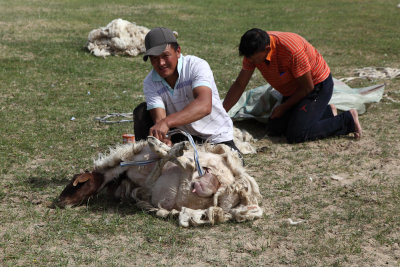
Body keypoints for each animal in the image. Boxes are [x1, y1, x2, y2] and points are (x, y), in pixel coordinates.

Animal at [57, 137, 262, 227]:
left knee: (186, 163)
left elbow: (162, 160)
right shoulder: (147, 185)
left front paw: (164, 146)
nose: (59, 202)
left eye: (77, 185)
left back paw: (165, 145)